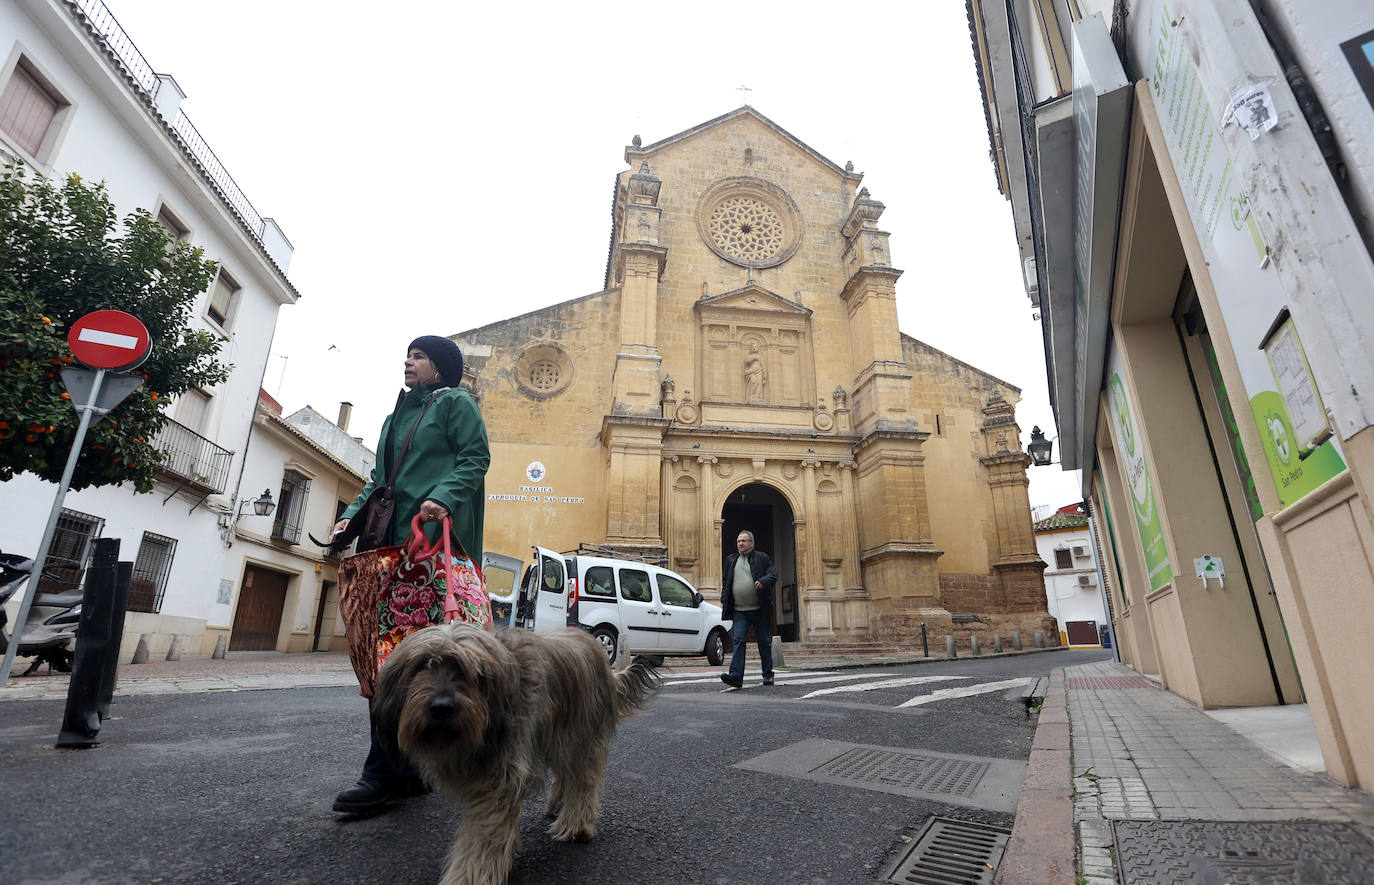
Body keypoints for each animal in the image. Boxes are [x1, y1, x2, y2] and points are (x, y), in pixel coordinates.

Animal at [370, 621, 659, 885]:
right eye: (422, 665)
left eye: (467, 671)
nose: (441, 707)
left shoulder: (499, 779)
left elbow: (483, 836)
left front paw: (466, 877)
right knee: (566, 774)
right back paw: (557, 803)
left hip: (580, 735)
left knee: (582, 781)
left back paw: (576, 825)